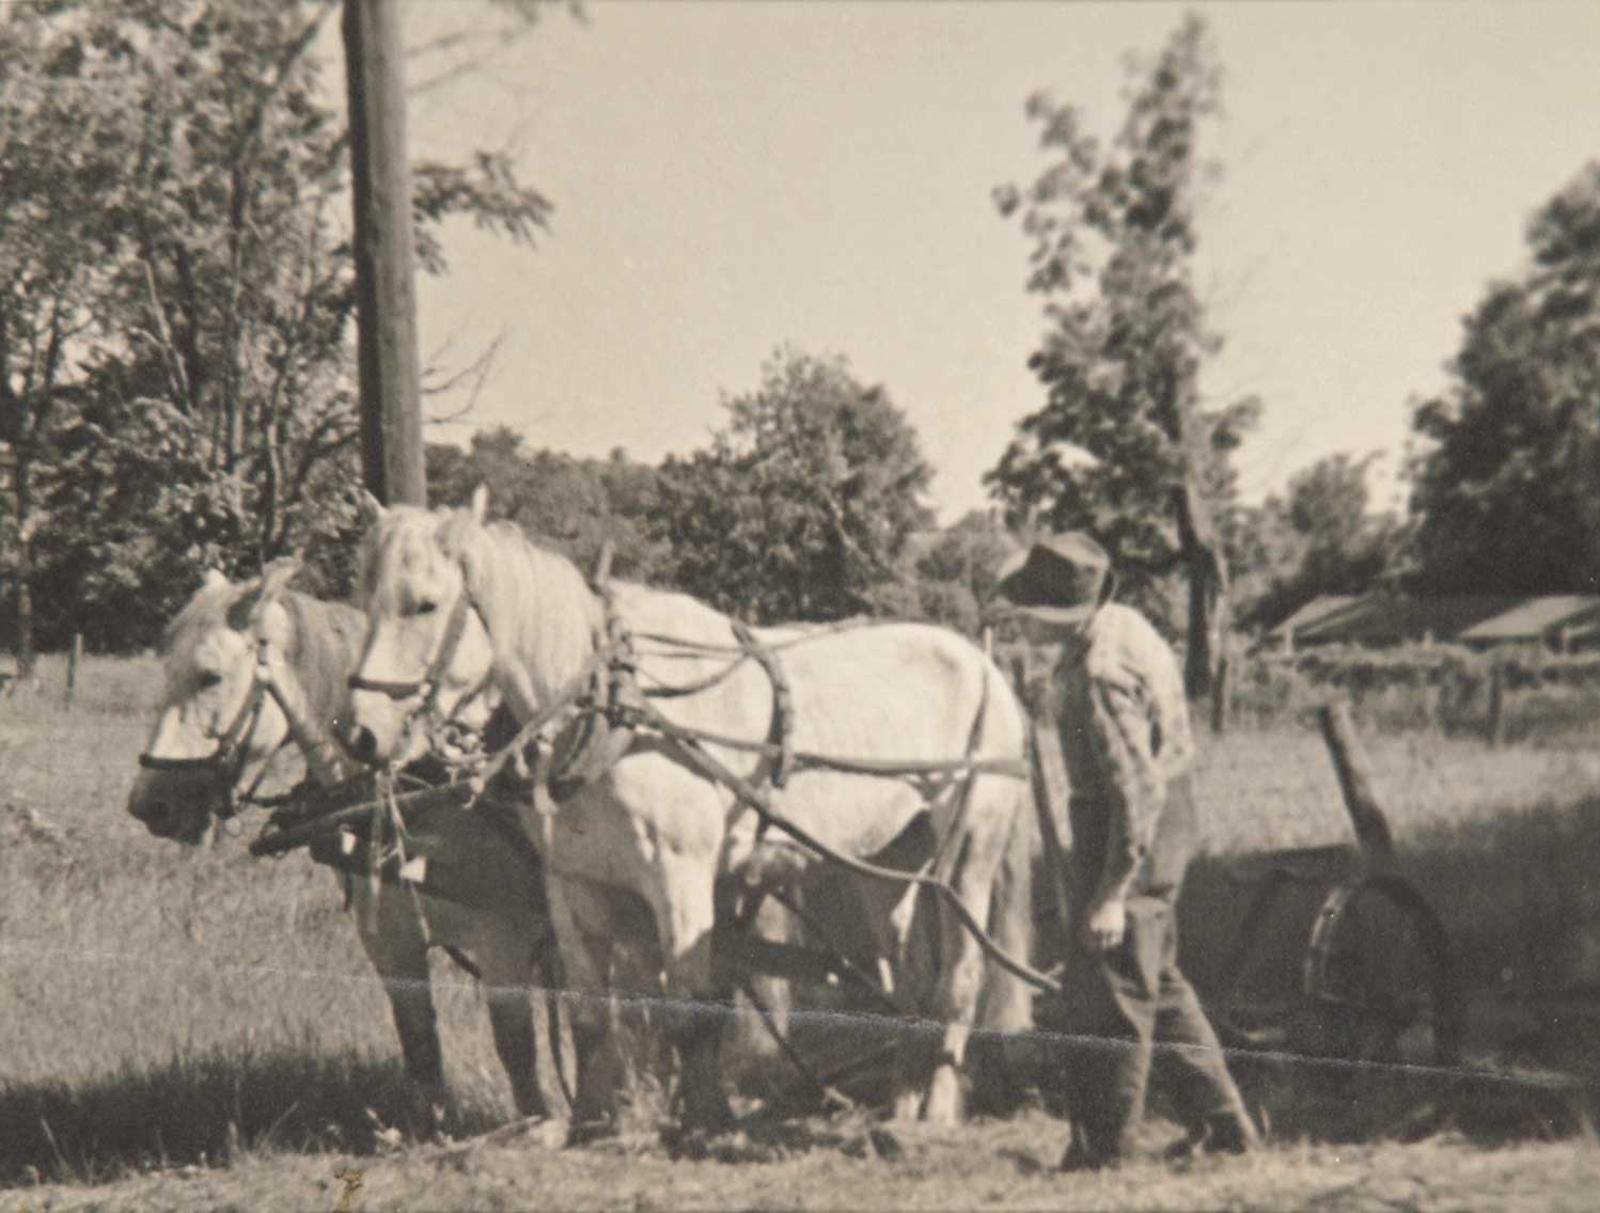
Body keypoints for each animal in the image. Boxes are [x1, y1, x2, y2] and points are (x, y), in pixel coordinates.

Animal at [131, 566, 569, 1132]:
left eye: (209, 676)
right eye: (167, 668)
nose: (149, 804)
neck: (413, 789)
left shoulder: (503, 941)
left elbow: (517, 1050)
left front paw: (539, 1126)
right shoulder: (392, 944)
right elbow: (421, 1047)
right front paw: (438, 1131)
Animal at [344, 489, 1030, 1132]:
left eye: (425, 604)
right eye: (366, 600)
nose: (358, 733)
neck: (616, 712)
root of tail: (983, 662)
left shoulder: (681, 877)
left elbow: (692, 1009)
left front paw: (704, 1117)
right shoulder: (574, 887)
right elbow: (589, 1013)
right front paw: (590, 1122)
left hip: (971, 851)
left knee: (960, 979)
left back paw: (937, 1109)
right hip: (885, 861)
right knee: (909, 979)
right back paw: (903, 1104)